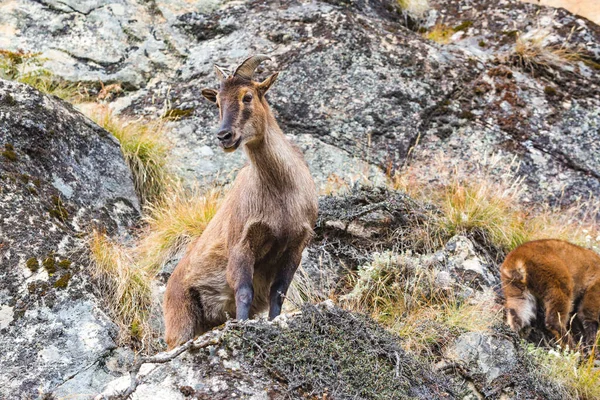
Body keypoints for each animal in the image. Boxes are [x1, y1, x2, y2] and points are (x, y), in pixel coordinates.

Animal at [162, 54, 316, 348]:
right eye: (218, 102)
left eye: (247, 96)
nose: (224, 136)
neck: (280, 192)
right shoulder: (241, 243)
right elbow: (243, 291)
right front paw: (243, 326)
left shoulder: (296, 246)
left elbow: (278, 293)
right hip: (181, 321)